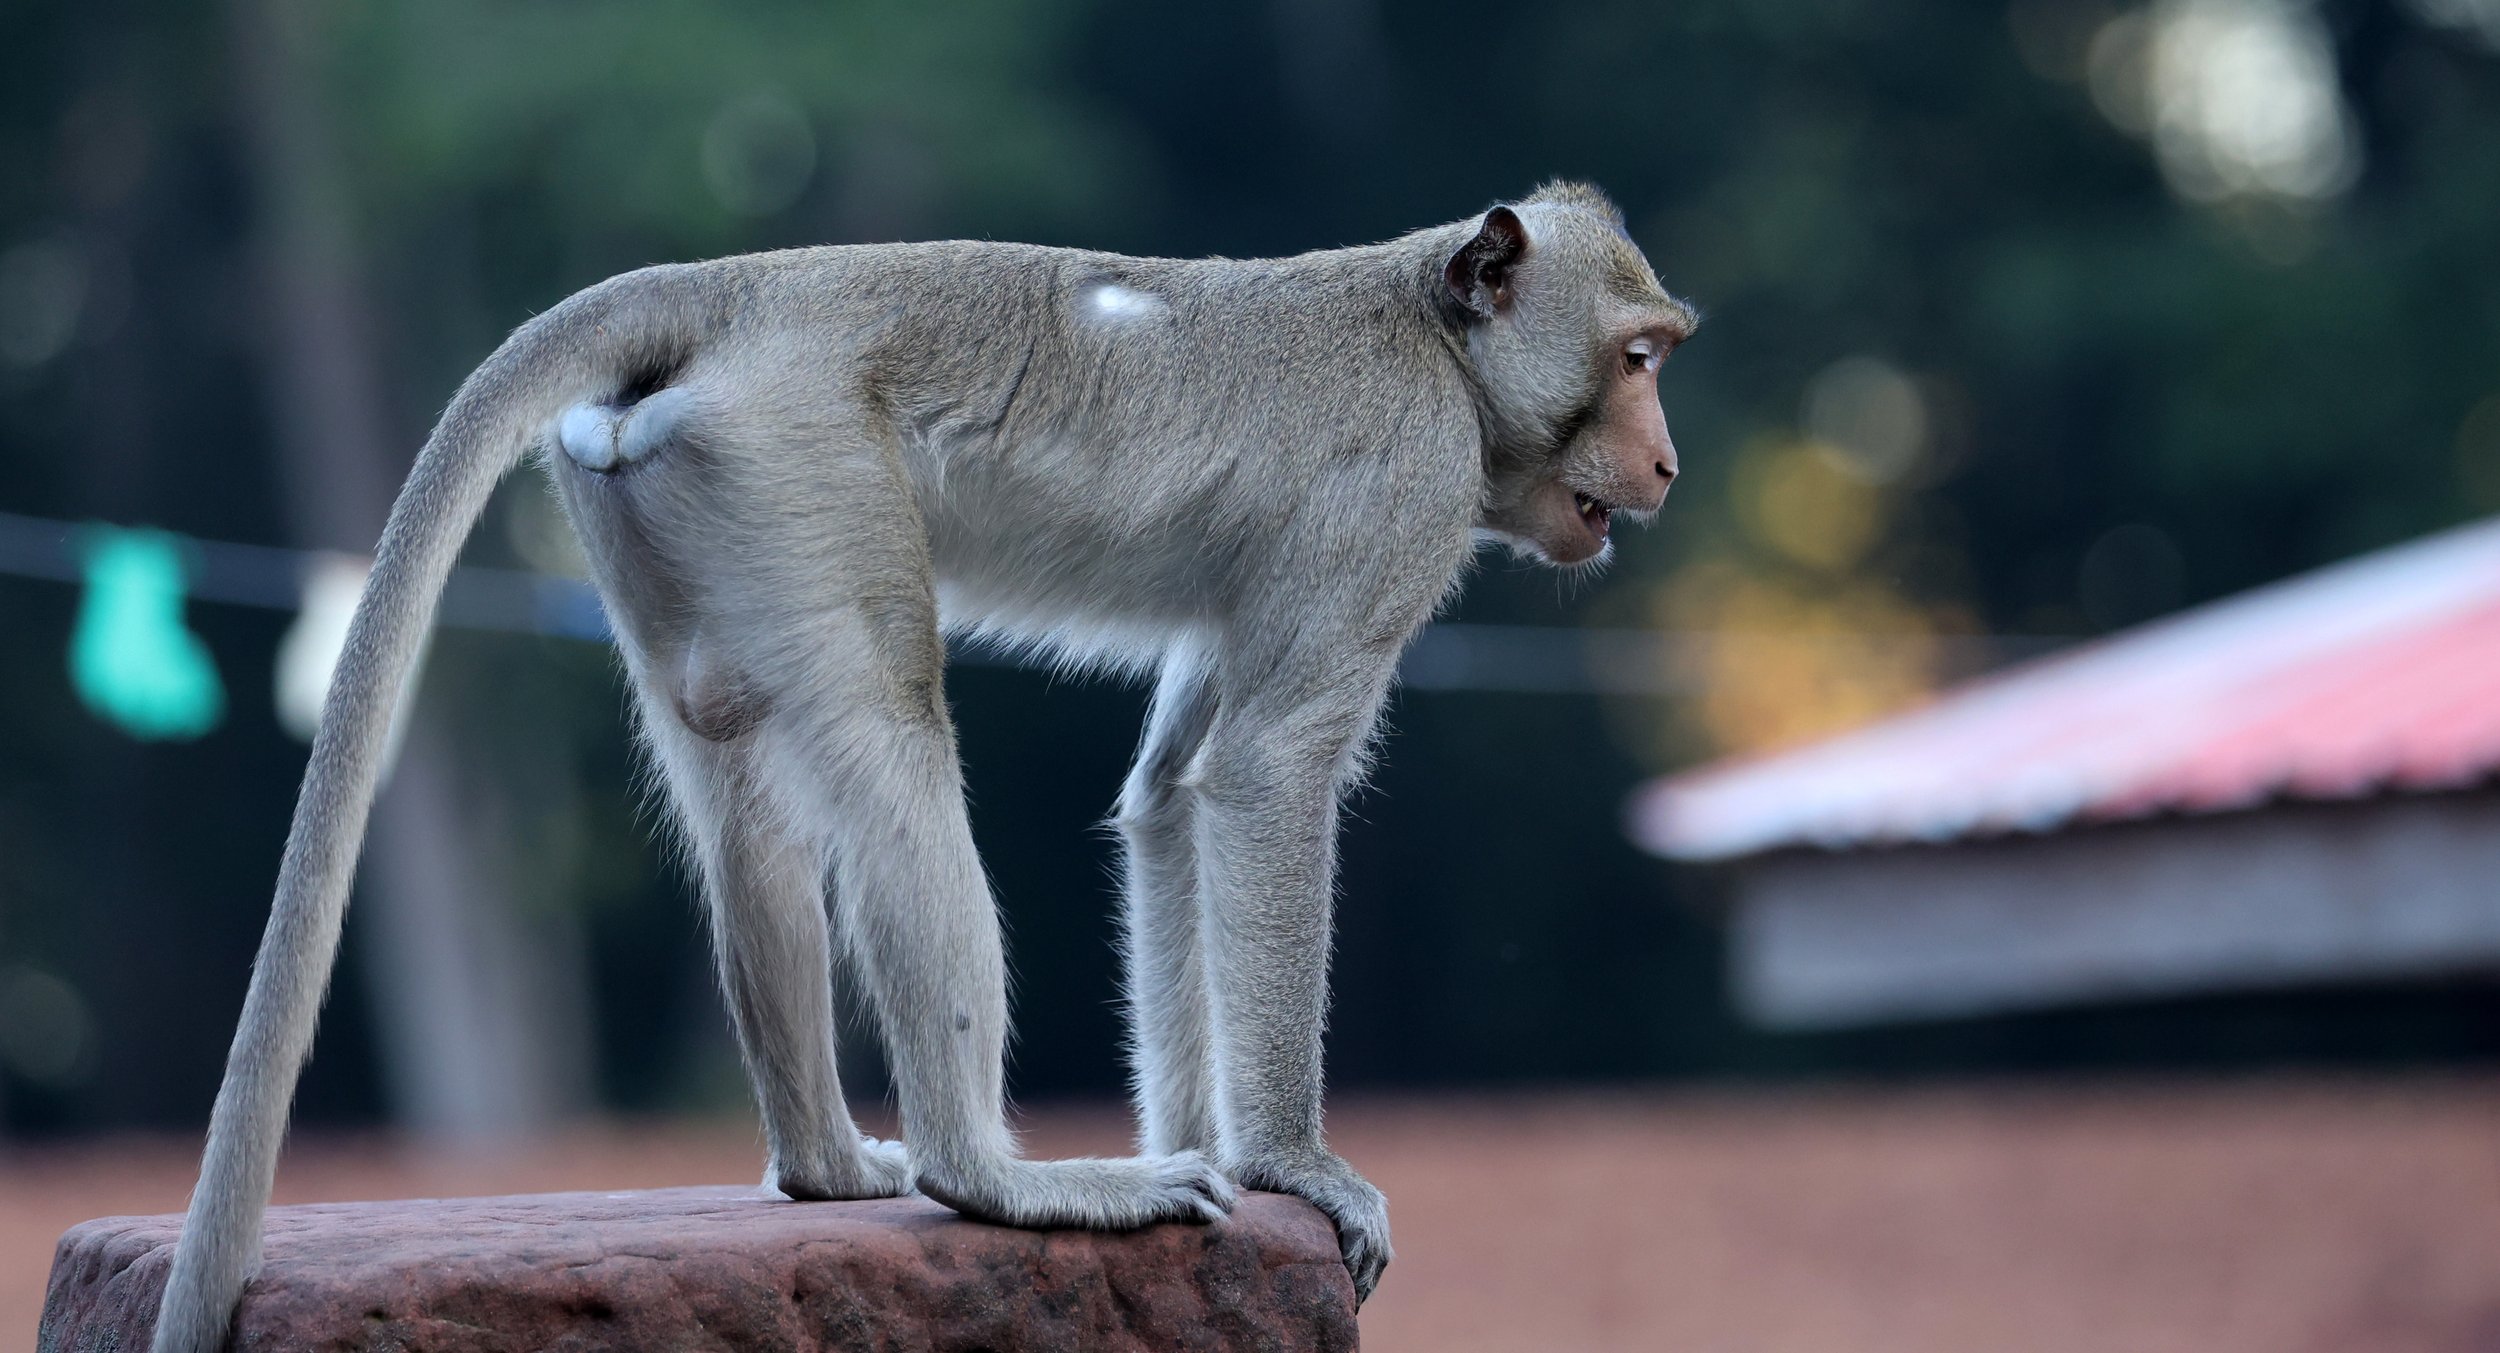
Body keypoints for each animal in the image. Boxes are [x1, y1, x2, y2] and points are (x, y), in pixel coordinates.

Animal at [149, 181, 1692, 1353]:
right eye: (1637, 359)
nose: (1667, 465)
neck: (1438, 348)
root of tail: (738, 289)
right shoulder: (1398, 497)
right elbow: (1262, 771)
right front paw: (1290, 1169)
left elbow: (1171, 796)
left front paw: (1211, 1151)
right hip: (803, 465)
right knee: (890, 732)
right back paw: (996, 1179)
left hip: (674, 491)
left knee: (743, 777)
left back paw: (830, 1167)